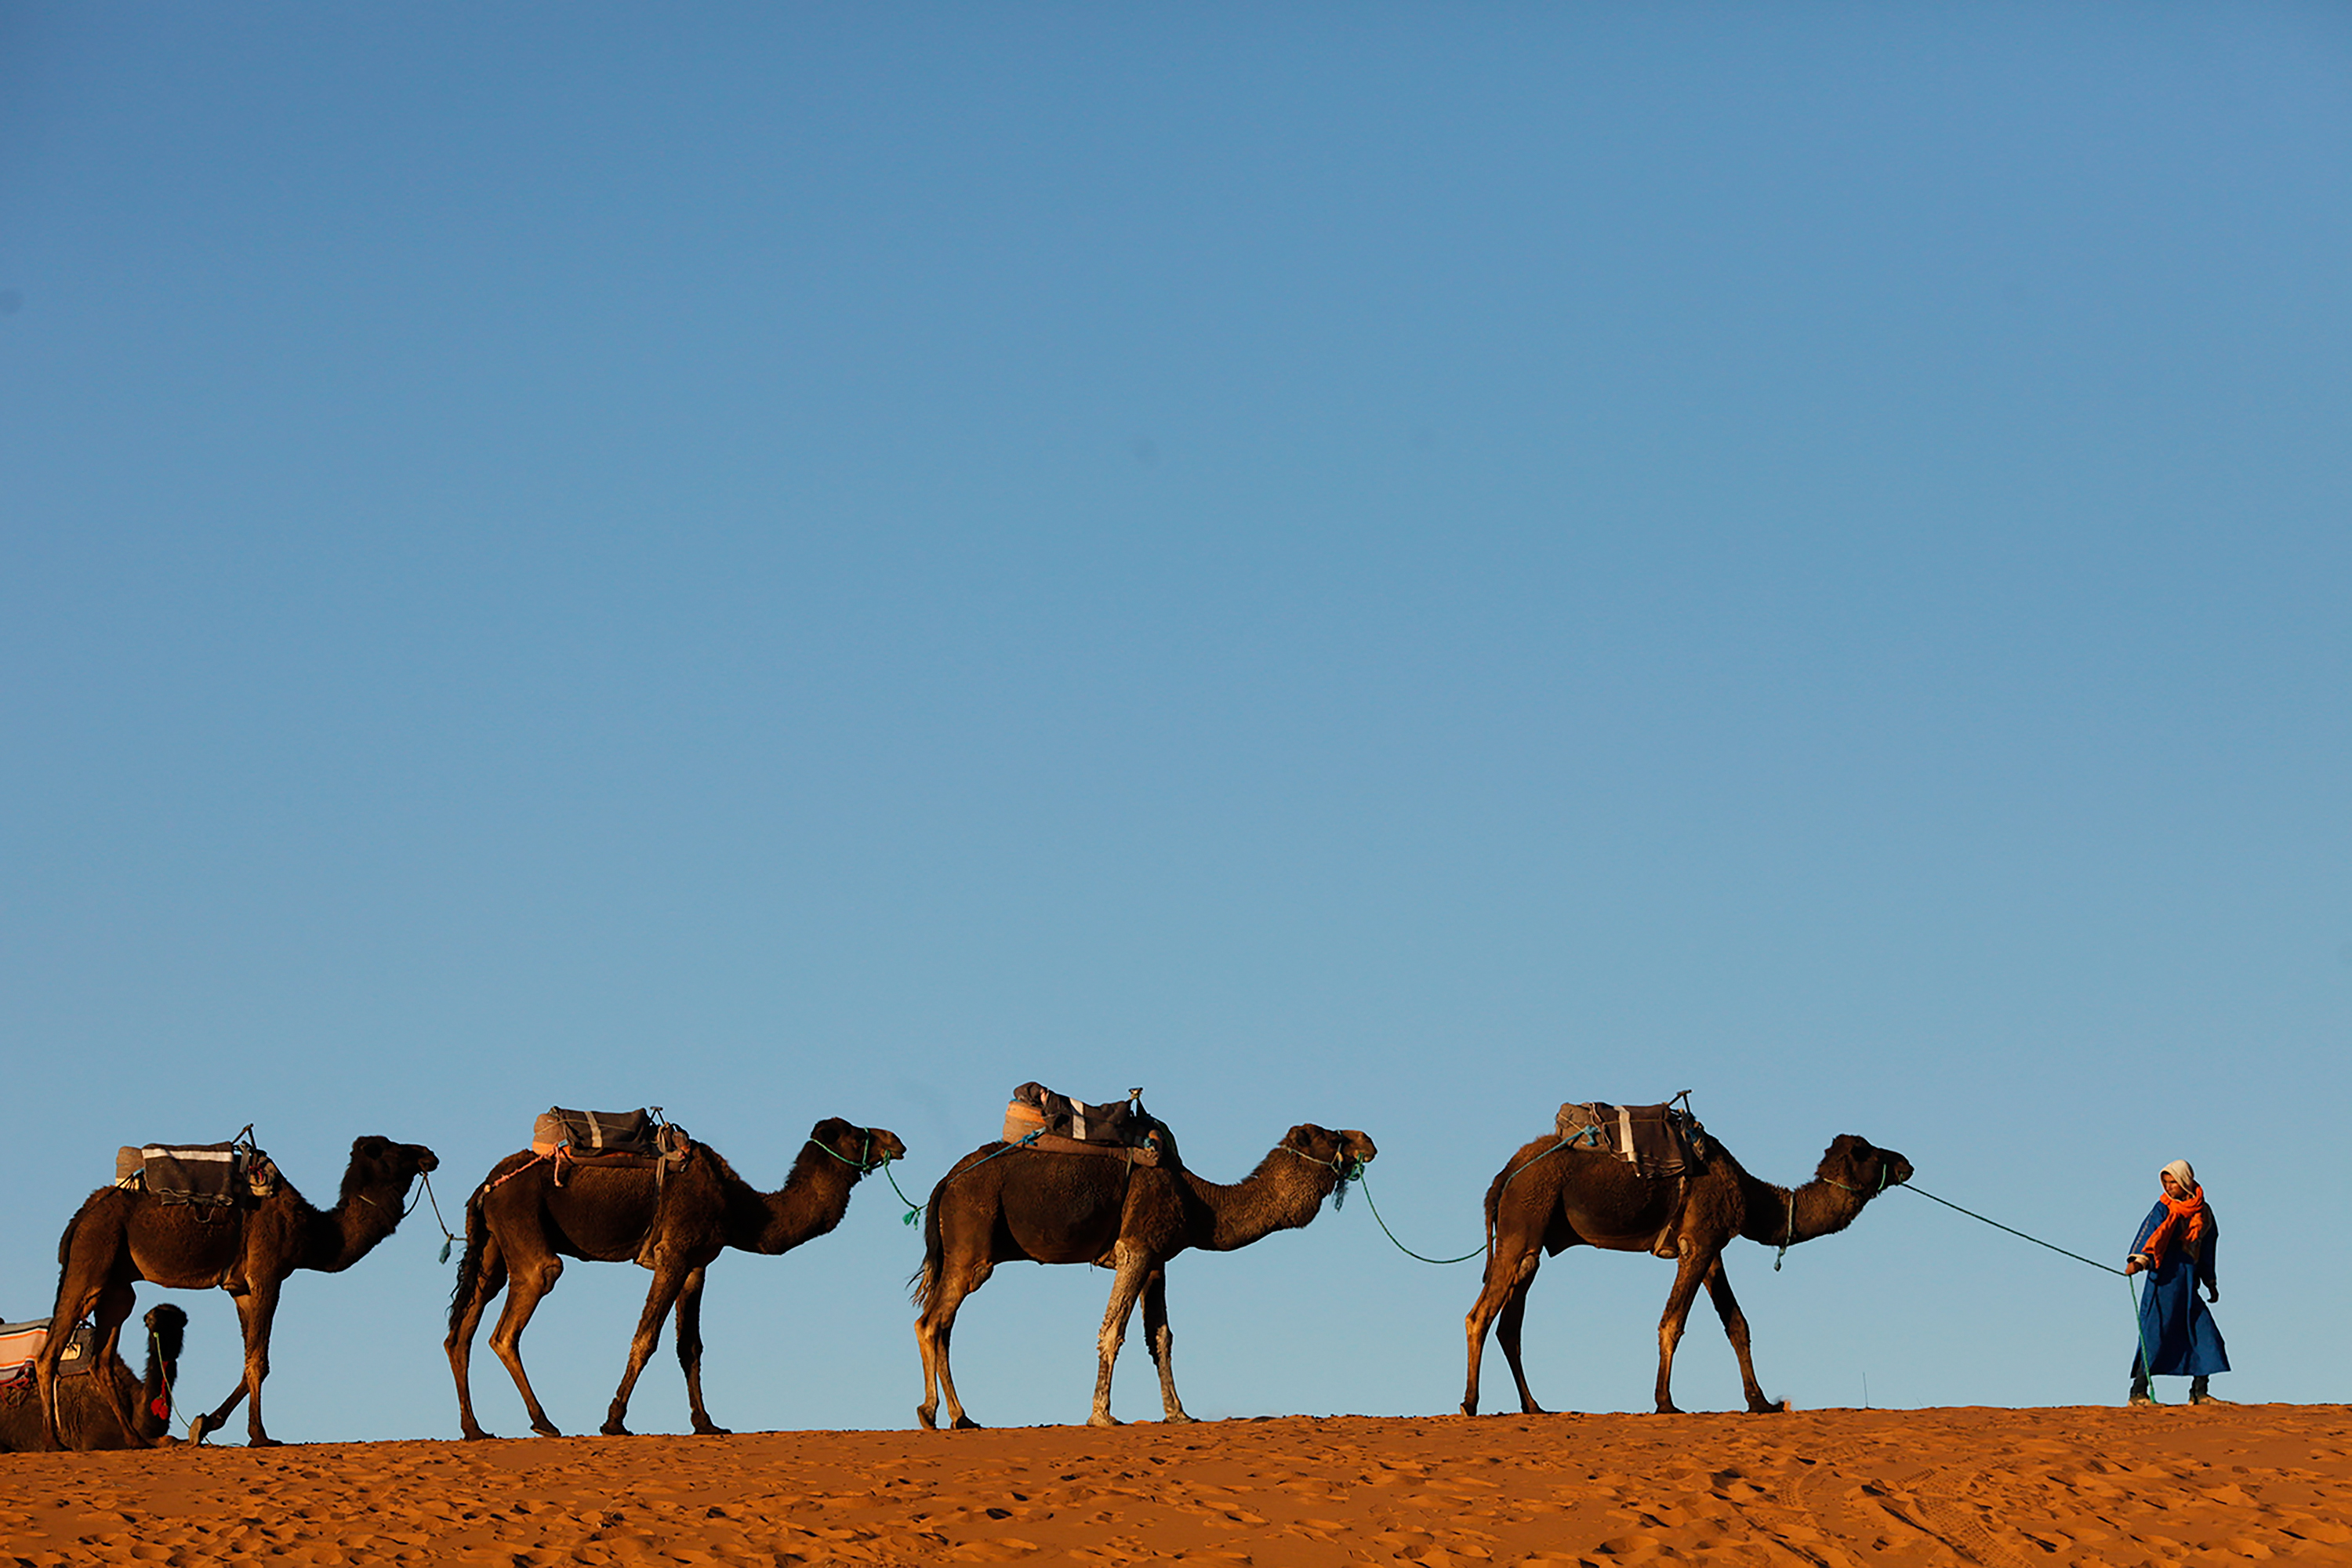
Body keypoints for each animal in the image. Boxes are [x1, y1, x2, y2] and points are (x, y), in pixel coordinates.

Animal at [38, 1135, 439, 1449]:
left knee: (101, 1359)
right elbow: (260, 1361)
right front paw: (260, 1436)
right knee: (51, 1352)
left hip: (118, 1287)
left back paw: (136, 1440)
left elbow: (250, 1361)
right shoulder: (268, 1273)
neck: (314, 1231)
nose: (429, 1154)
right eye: (392, 1149)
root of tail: (84, 1214)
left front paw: (203, 1425)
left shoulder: (241, 1288)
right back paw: (55, 1443)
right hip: (92, 1260)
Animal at [446, 1116, 907, 1439]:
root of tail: (487, 1185)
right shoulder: (673, 1252)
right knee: (512, 1320)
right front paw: (614, 1420)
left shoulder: (697, 1264)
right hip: (523, 1227)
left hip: (493, 1246)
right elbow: (646, 1338)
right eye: (857, 1135)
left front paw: (706, 1423)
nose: (896, 1141)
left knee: (462, 1330)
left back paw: (475, 1429)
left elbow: (690, 1347)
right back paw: (544, 1422)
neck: (740, 1207)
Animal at [913, 1121, 1379, 1430]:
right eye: (1332, 1136)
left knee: (940, 1325)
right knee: (932, 1322)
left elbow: (1161, 1336)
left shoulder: (1158, 1260)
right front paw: (1102, 1415)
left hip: (959, 1253)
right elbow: (1113, 1329)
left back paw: (954, 1415)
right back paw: (940, 1415)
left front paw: (1178, 1413)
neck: (1199, 1201)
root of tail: (945, 1183)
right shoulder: (1135, 1249)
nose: (1369, 1141)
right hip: (973, 1248)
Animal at [1462, 1124, 1911, 1417]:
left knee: (1509, 1326)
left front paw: (1761, 1402)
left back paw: (1534, 1407)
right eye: (1871, 1152)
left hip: (1532, 1240)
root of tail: (1505, 1176)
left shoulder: (1712, 1250)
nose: (1906, 1163)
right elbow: (1673, 1322)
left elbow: (1737, 1324)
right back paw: (1470, 1403)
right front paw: (1665, 1403)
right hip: (1524, 1222)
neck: (1751, 1194)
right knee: (1479, 1315)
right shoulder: (1698, 1243)